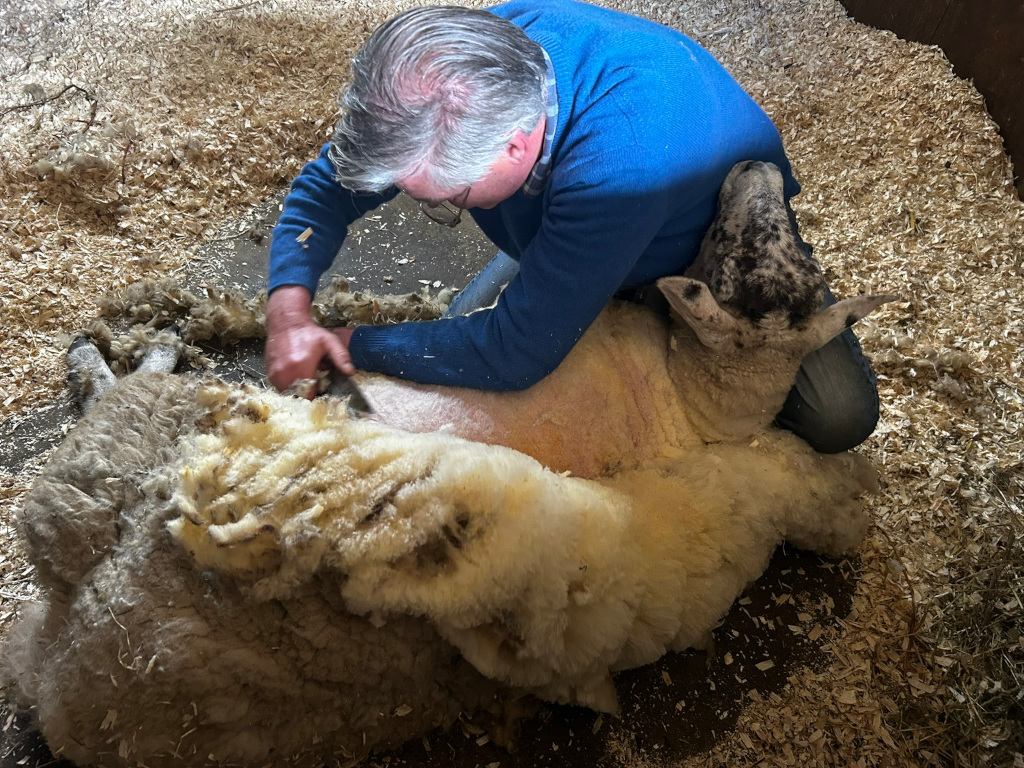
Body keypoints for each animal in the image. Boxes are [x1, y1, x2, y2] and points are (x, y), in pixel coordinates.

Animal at [3, 161, 894, 767]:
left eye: (740, 252)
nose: (755, 169)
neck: (693, 395)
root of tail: (66, 658)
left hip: (123, 455)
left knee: (117, 407)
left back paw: (118, 352)